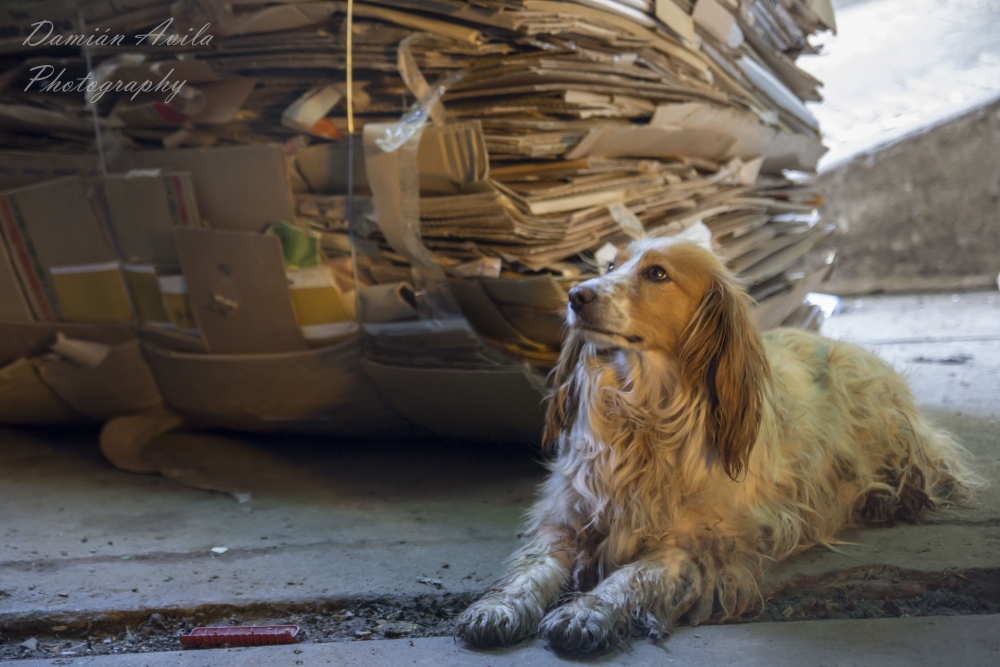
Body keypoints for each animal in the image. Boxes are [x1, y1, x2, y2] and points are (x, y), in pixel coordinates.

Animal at [458, 239, 972, 652]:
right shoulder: (566, 522)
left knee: (931, 466)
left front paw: (585, 614)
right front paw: (498, 609)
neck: (643, 417)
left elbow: (628, 577)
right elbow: (531, 571)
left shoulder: (698, 547)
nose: (575, 295)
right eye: (611, 266)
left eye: (657, 273)